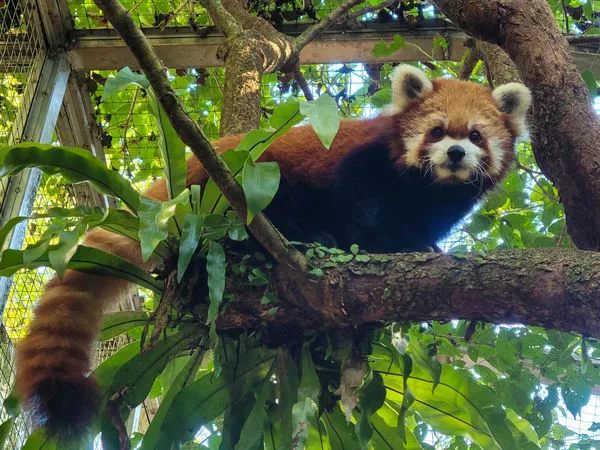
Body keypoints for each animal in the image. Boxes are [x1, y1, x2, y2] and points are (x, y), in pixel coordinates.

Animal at [14, 65, 528, 438]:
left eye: (475, 135)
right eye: (438, 131)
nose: (456, 154)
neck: (427, 190)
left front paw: (422, 245)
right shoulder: (360, 165)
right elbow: (358, 211)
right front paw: (365, 243)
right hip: (232, 191)